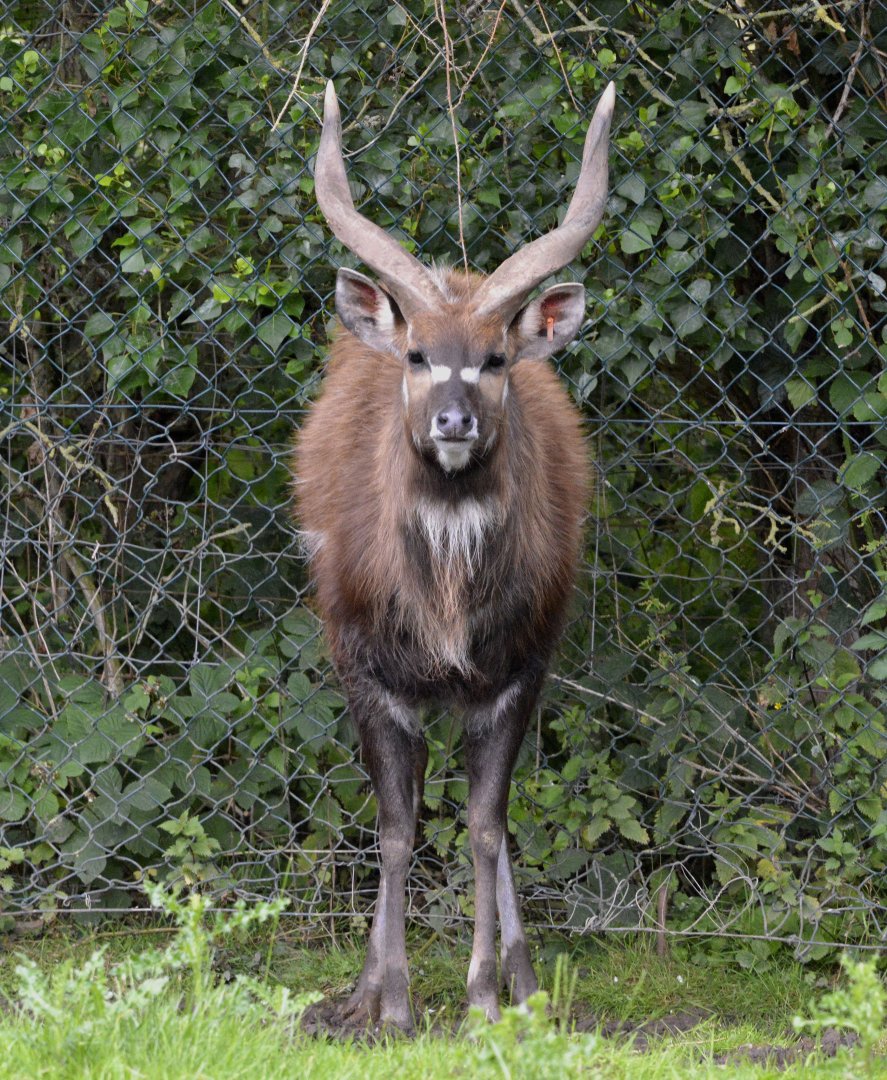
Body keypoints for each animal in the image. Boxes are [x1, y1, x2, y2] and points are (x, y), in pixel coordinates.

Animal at [295, 80, 614, 1029]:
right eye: (417, 354)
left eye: (495, 358)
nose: (453, 421)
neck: (443, 600)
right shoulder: (365, 670)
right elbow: (398, 831)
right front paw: (392, 1006)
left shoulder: (516, 672)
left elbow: (483, 827)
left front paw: (482, 998)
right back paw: (359, 995)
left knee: (492, 828)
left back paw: (526, 983)